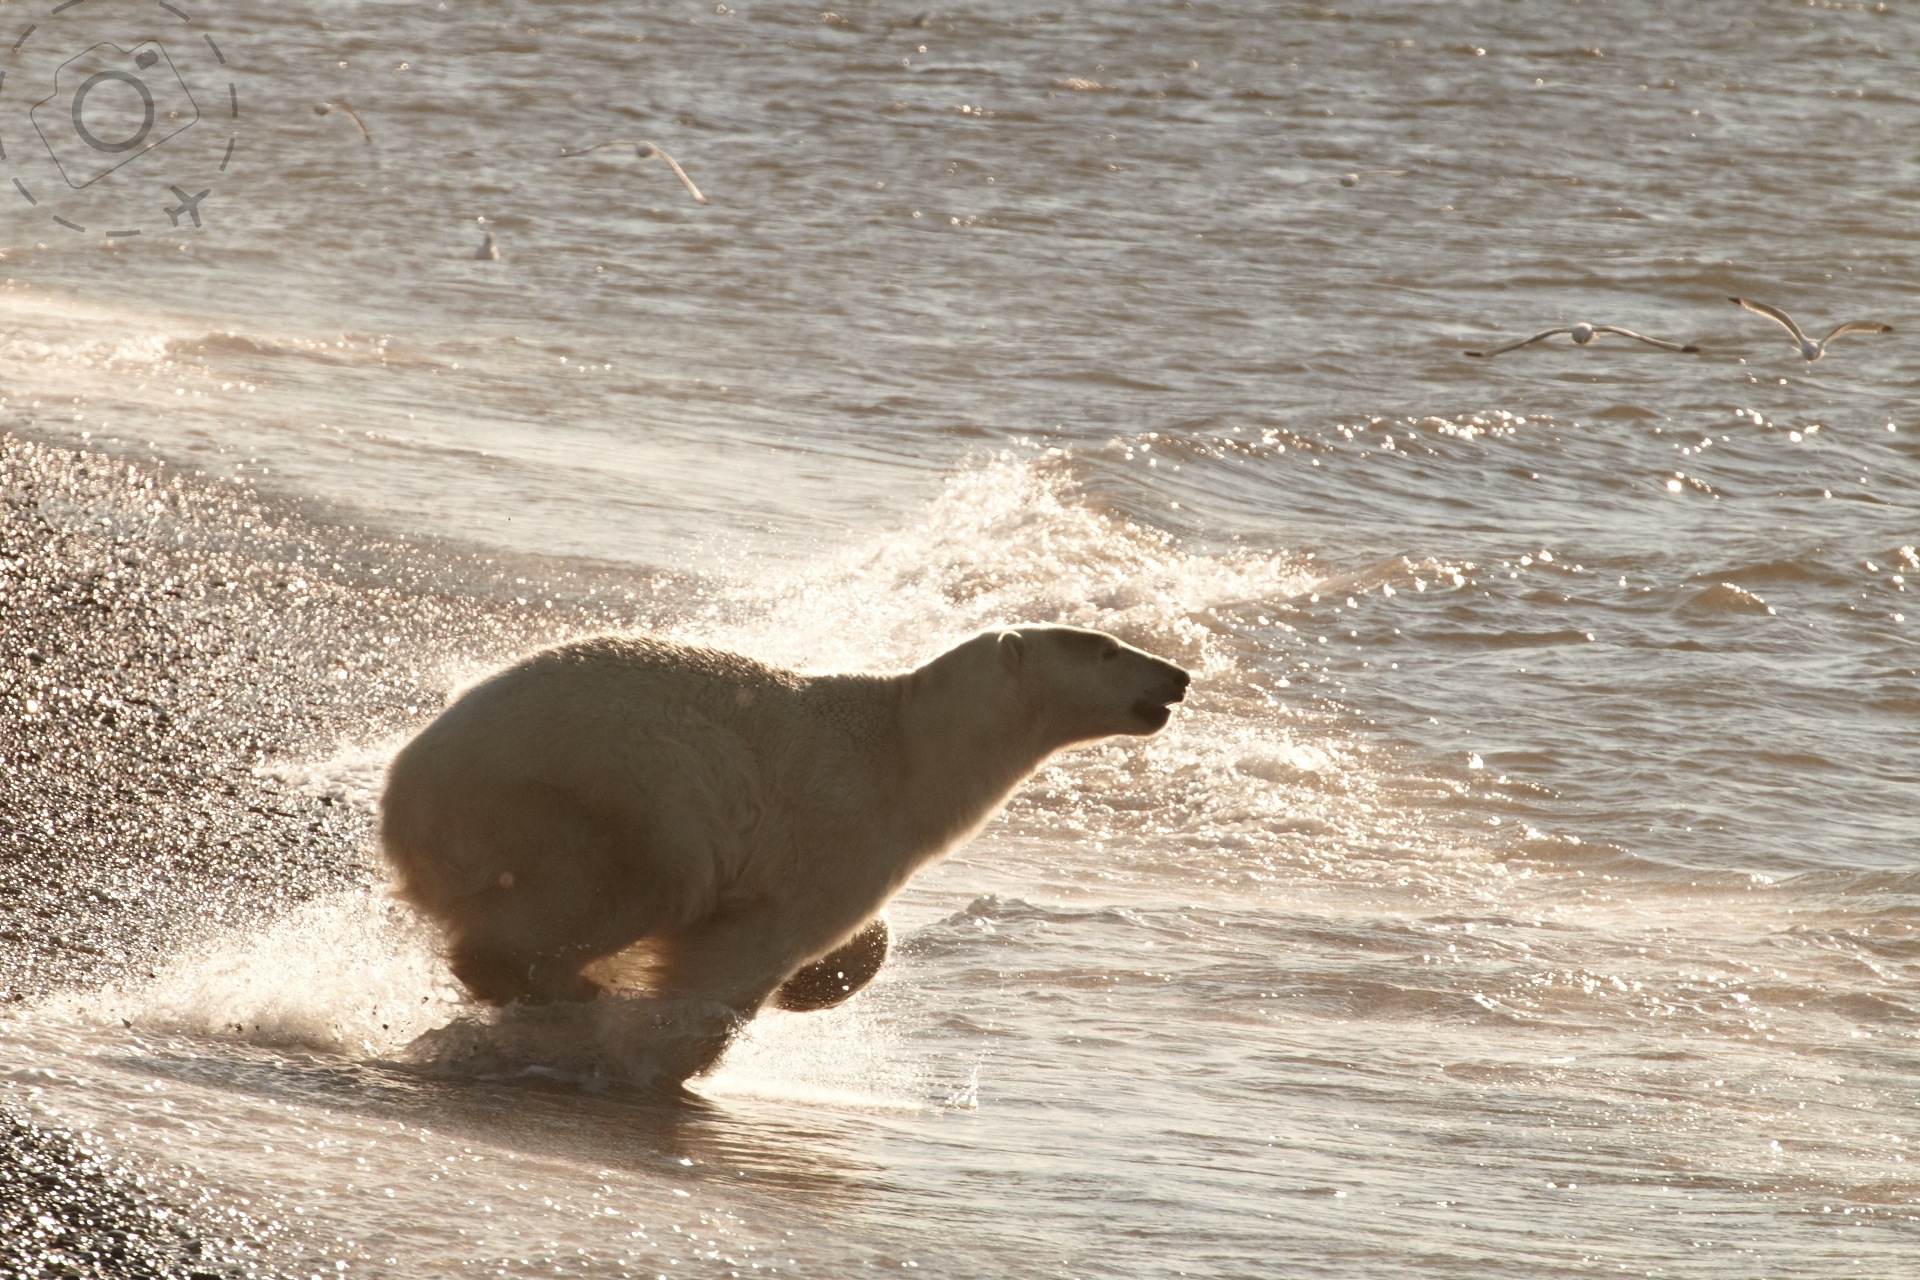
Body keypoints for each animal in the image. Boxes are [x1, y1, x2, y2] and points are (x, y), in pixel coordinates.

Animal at [374, 625, 1182, 1066]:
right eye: (1107, 649)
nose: (1178, 674)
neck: (907, 748)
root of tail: (405, 790)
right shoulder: (837, 827)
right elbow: (742, 948)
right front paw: (662, 1054)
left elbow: (860, 939)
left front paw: (818, 982)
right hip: (597, 798)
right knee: (625, 886)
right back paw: (567, 990)